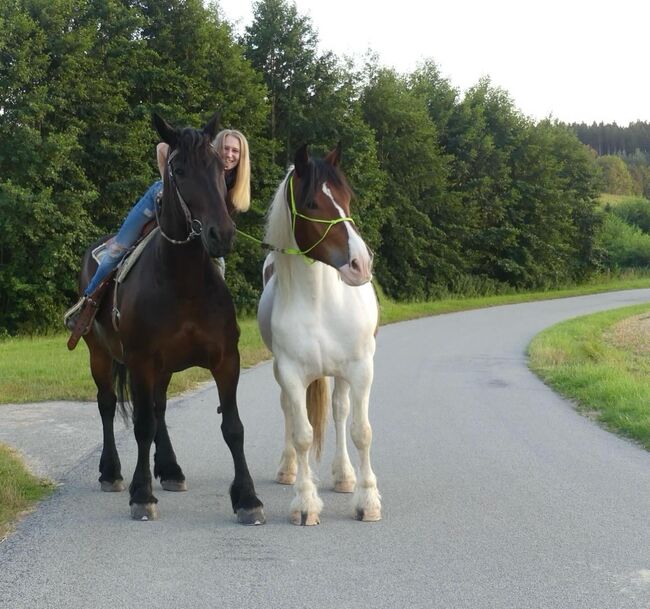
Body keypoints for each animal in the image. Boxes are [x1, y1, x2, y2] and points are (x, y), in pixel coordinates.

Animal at [78, 113, 264, 524]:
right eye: (178, 170)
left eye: (220, 168)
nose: (221, 234)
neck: (184, 282)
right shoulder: (140, 360)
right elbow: (141, 425)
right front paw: (141, 494)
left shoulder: (225, 360)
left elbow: (234, 427)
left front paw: (247, 498)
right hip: (100, 354)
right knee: (108, 404)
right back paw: (112, 472)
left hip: (160, 368)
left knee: (159, 408)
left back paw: (170, 469)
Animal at [256, 144, 380, 524]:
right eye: (312, 203)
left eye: (347, 198)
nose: (360, 264)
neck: (319, 301)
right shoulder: (291, 373)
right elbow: (302, 435)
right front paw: (306, 502)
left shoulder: (361, 369)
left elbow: (361, 431)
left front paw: (367, 501)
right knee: (289, 412)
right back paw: (289, 470)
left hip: (341, 374)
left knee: (340, 412)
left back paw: (344, 476)